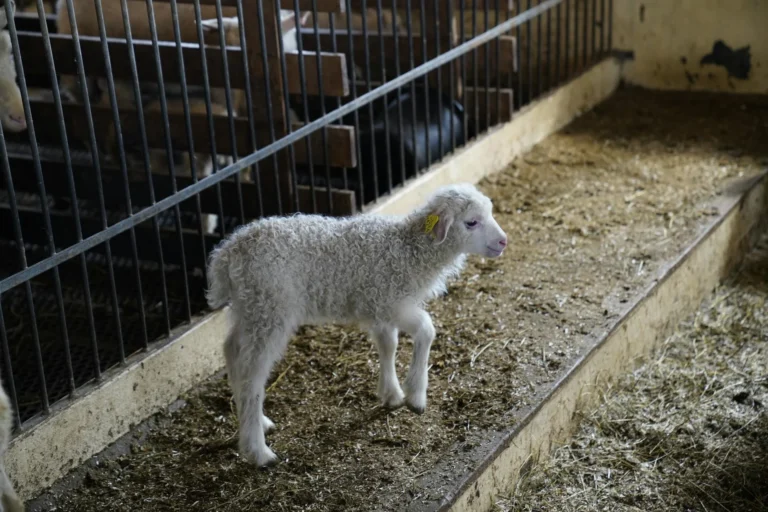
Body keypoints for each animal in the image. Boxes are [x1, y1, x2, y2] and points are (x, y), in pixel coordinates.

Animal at [205, 182, 508, 467]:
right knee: (252, 375)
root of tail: (228, 255)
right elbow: (426, 328)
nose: (503, 242)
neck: (409, 250)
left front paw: (391, 394)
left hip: (250, 309)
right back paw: (258, 451)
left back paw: (259, 421)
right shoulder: (391, 301)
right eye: (471, 222)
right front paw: (416, 396)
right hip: (271, 310)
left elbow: (388, 345)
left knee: (232, 351)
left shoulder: (378, 305)